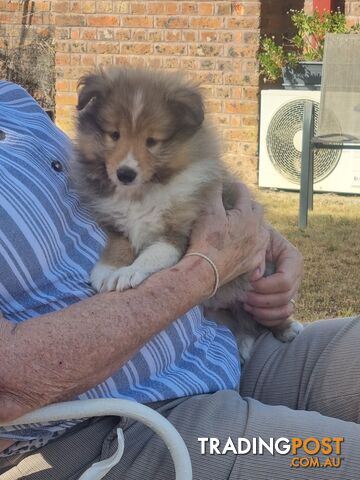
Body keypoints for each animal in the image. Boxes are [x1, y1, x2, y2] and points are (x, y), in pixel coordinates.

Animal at [71, 68, 300, 360]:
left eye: (152, 141)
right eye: (114, 134)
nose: (125, 174)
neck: (141, 192)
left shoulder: (175, 234)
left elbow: (150, 256)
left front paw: (127, 273)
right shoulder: (116, 224)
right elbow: (118, 246)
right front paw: (106, 271)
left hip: (261, 280)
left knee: (264, 318)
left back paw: (287, 328)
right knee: (243, 326)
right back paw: (242, 342)